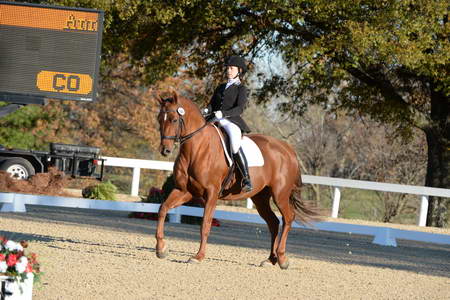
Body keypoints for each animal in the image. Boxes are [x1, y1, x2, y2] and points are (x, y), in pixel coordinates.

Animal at [155, 91, 316, 270]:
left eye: (174, 120)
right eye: (159, 119)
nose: (165, 150)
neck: (197, 149)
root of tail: (288, 150)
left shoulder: (211, 194)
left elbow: (205, 224)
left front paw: (198, 256)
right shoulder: (184, 191)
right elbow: (162, 209)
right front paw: (161, 249)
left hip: (280, 194)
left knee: (288, 218)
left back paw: (282, 259)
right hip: (260, 198)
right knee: (273, 222)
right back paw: (270, 260)